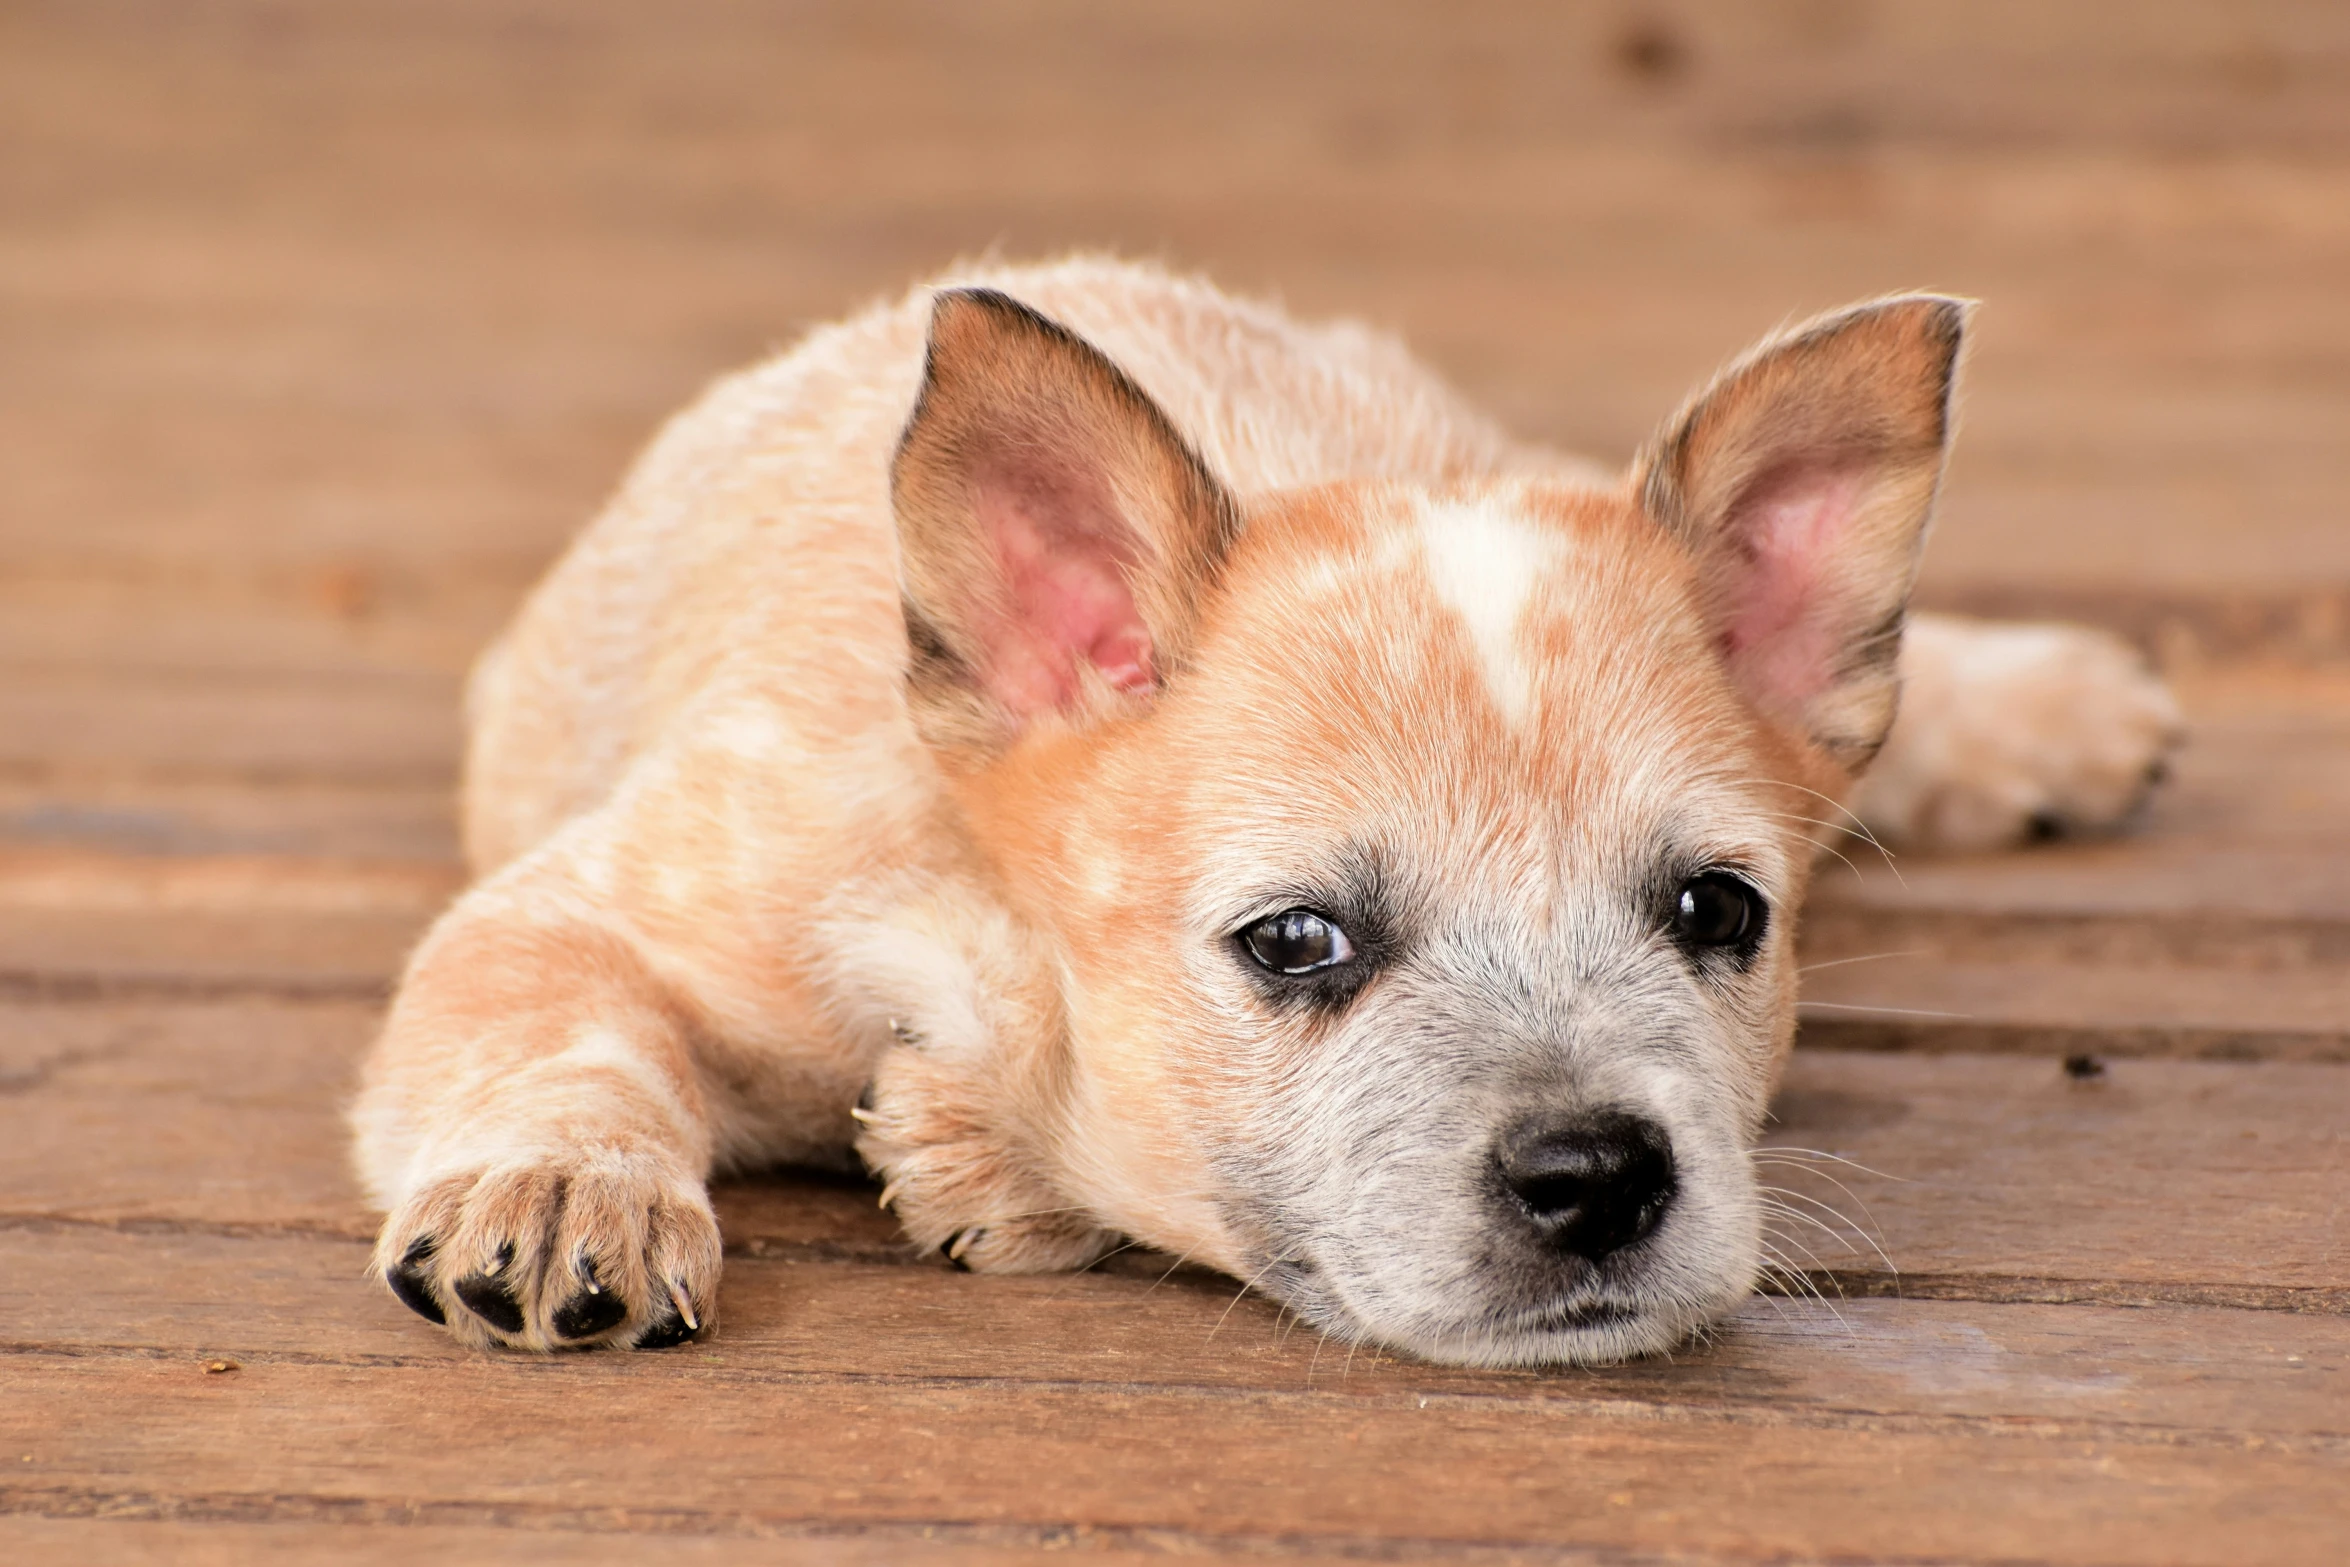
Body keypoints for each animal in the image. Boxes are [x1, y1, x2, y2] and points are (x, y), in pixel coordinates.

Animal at [352, 257, 2180, 1362]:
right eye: (1297, 940)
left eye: (1717, 910)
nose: (1598, 1173)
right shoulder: (603, 906)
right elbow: (567, 1038)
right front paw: (562, 1184)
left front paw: (987, 1153)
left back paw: (2046, 705)